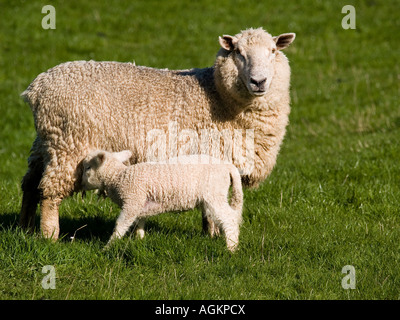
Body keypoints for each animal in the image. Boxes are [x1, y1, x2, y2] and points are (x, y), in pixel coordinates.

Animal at [18, 27, 294, 239]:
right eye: (238, 52)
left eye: (273, 51)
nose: (259, 82)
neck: (218, 96)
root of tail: (38, 87)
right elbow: (212, 206)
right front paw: (214, 234)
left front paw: (210, 234)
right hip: (68, 145)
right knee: (50, 193)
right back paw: (49, 236)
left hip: (46, 143)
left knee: (30, 184)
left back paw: (25, 228)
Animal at [81, 151, 244, 252]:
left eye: (88, 167)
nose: (79, 183)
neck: (119, 177)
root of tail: (227, 166)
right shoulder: (140, 203)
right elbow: (140, 222)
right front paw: (140, 239)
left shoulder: (132, 201)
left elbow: (120, 226)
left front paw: (107, 247)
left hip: (215, 194)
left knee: (229, 218)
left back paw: (231, 247)